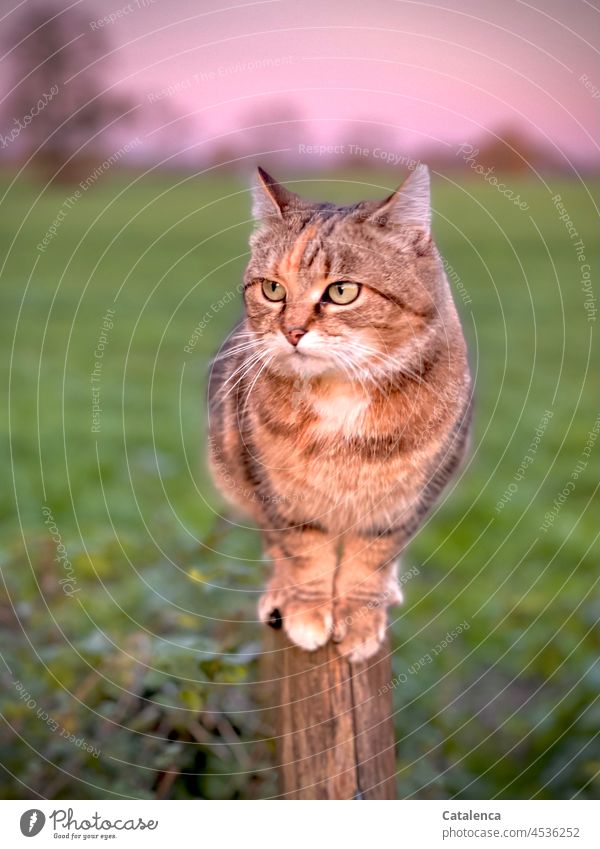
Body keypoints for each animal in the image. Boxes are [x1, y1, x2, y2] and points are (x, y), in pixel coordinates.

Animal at [209, 162, 472, 660]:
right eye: (272, 289)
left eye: (343, 291)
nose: (292, 331)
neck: (340, 395)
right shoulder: (275, 487)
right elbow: (301, 548)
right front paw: (308, 609)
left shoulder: (406, 496)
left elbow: (372, 556)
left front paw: (359, 617)